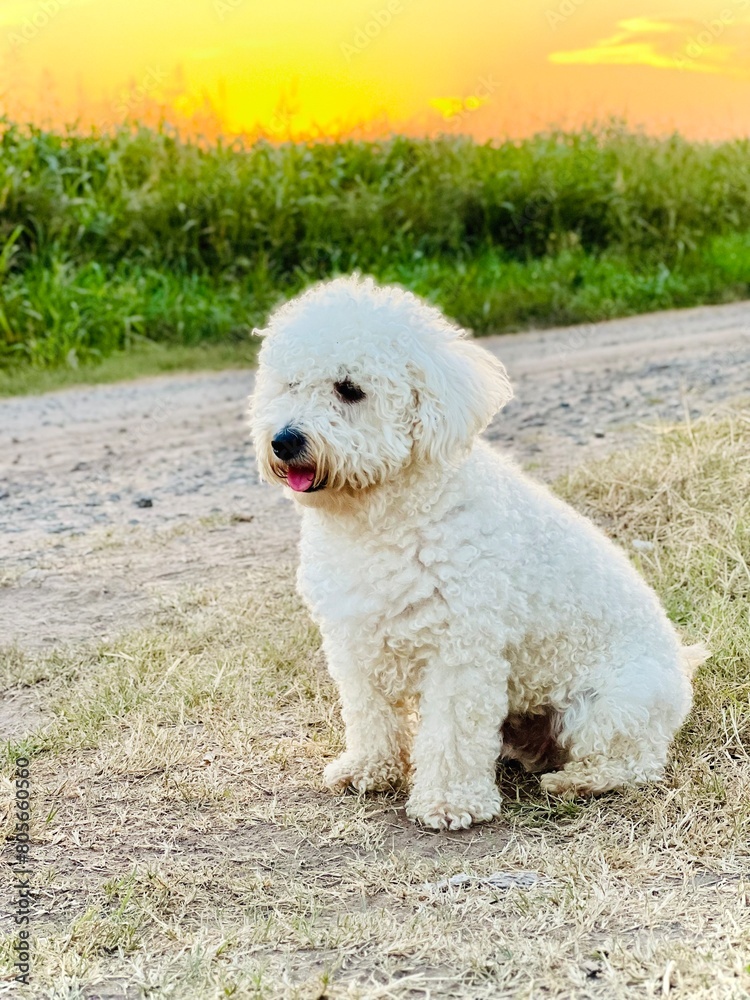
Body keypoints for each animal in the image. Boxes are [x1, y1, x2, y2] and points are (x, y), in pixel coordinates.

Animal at [250, 274, 708, 828]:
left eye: (349, 389)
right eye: (289, 385)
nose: (283, 440)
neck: (380, 519)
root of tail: (681, 669)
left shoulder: (461, 651)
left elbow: (450, 734)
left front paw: (450, 802)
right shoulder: (354, 642)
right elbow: (370, 715)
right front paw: (368, 770)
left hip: (610, 705)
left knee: (634, 762)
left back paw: (576, 781)